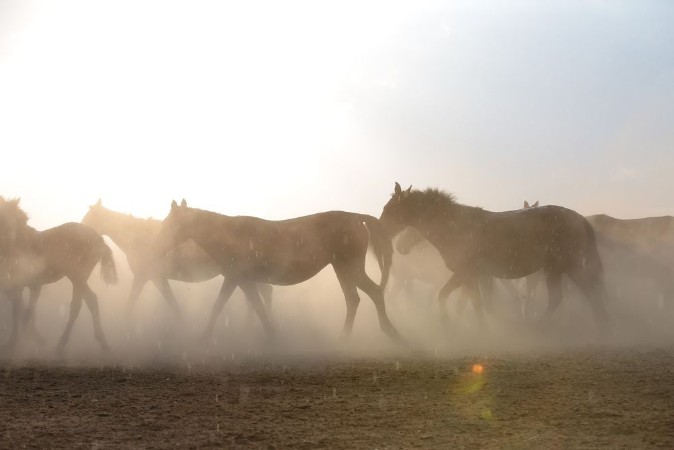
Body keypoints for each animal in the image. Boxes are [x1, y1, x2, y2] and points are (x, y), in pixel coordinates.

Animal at [0, 197, 117, 352]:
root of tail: (99, 239)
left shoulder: (21, 285)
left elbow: (20, 311)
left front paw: (16, 342)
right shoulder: (29, 285)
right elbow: (26, 309)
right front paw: (33, 336)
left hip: (77, 277)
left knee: (78, 305)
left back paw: (61, 345)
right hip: (78, 279)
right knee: (91, 301)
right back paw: (103, 342)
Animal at [82, 200, 273, 319]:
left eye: (89, 218)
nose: (79, 229)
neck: (139, 238)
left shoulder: (149, 277)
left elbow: (136, 304)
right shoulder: (153, 278)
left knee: (264, 293)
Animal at [151, 200, 400, 344]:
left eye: (169, 224)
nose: (156, 245)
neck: (229, 235)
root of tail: (356, 217)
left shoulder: (234, 277)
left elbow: (219, 306)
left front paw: (202, 339)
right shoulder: (244, 280)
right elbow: (257, 307)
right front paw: (272, 335)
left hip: (350, 267)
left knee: (371, 293)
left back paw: (384, 333)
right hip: (342, 268)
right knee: (356, 298)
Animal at [379, 183, 609, 330]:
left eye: (389, 209)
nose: (399, 247)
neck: (455, 225)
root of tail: (579, 218)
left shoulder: (468, 274)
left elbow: (473, 303)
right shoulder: (468, 275)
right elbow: (456, 298)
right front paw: (451, 323)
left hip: (566, 267)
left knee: (586, 294)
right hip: (556, 269)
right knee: (562, 297)